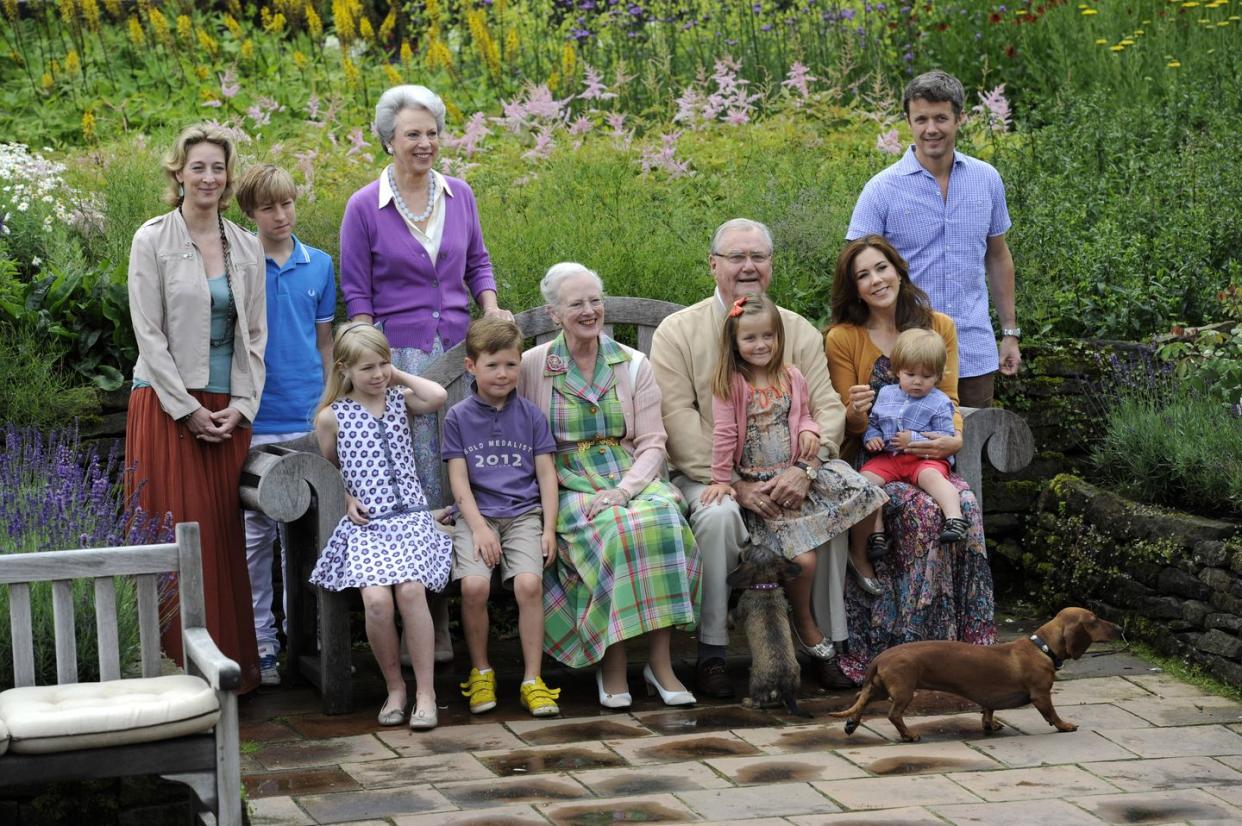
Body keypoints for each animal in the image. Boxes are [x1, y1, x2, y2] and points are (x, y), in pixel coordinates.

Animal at [725, 541, 809, 715]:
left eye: (746, 552)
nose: (747, 541)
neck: (766, 586)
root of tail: (784, 684)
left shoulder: (741, 609)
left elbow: (731, 615)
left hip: (755, 679)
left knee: (759, 702)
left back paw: (748, 701)